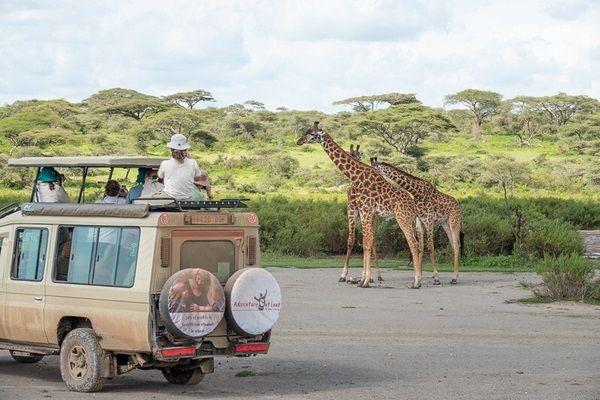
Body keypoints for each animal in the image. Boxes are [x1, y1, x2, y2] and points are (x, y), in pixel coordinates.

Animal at [344, 144, 382, 282]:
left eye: (359, 155)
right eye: (351, 154)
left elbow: (368, 241)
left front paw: (366, 276)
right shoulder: (352, 211)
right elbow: (351, 240)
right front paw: (343, 275)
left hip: (374, 218)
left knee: (373, 240)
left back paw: (378, 275)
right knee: (369, 239)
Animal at [370, 156, 464, 284]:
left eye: (375, 169)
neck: (416, 192)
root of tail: (457, 204)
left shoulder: (428, 219)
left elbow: (430, 247)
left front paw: (436, 278)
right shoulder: (419, 220)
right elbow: (420, 247)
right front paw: (419, 276)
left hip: (454, 221)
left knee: (457, 244)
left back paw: (455, 278)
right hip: (445, 223)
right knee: (453, 244)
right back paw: (454, 276)